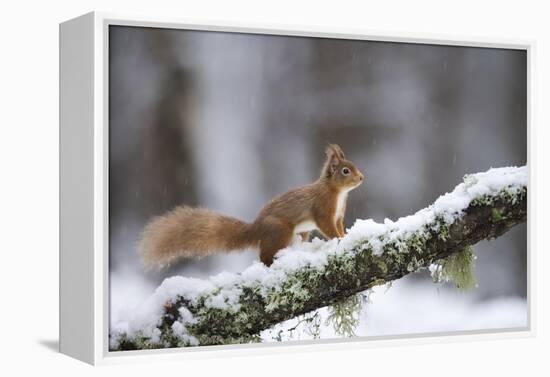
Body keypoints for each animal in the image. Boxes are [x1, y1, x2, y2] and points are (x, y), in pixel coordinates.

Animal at [140, 142, 364, 266]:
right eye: (345, 171)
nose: (362, 178)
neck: (338, 193)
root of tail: (256, 229)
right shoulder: (323, 208)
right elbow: (327, 227)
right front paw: (339, 239)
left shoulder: (338, 215)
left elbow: (339, 226)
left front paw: (345, 236)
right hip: (281, 230)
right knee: (264, 255)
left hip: (300, 233)